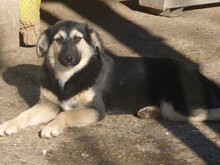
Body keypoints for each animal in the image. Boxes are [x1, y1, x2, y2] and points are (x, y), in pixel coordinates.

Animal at [0, 21, 220, 138]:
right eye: (58, 40)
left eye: (78, 39)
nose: (68, 58)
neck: (67, 76)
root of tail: (195, 69)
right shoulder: (48, 104)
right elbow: (25, 114)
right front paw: (9, 123)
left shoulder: (95, 109)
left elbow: (66, 114)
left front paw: (52, 126)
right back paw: (148, 110)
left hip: (177, 106)